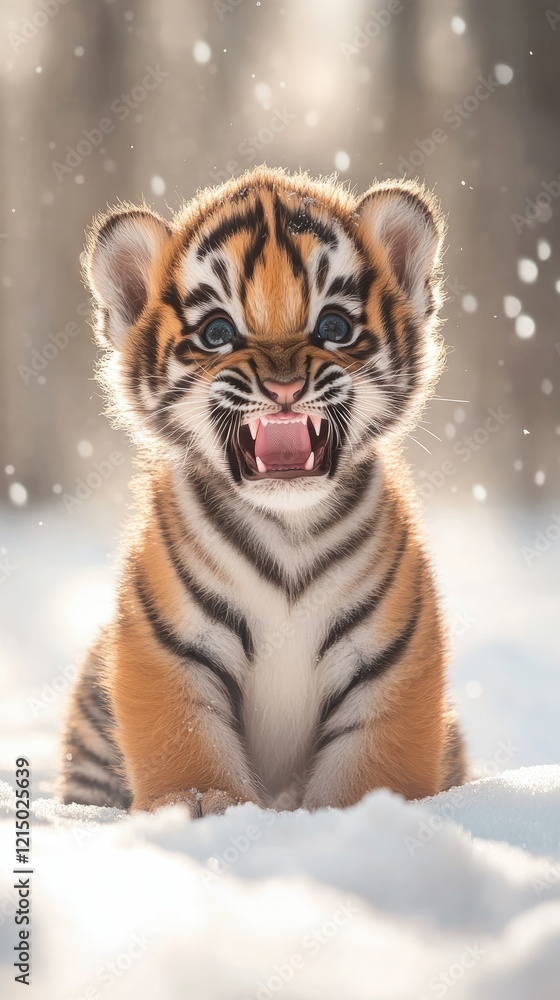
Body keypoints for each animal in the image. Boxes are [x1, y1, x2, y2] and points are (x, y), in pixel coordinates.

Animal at [59, 165, 466, 816]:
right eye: (218, 332)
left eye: (334, 326)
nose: (284, 386)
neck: (290, 526)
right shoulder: (170, 648)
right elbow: (185, 743)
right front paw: (201, 803)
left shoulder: (390, 661)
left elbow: (369, 768)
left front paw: (360, 817)